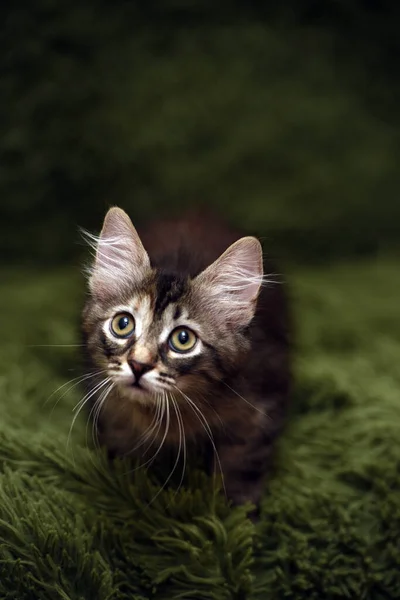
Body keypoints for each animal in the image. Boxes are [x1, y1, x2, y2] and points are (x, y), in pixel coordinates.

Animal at [80, 209, 290, 508]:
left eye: (183, 339)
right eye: (123, 324)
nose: (138, 365)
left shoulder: (260, 410)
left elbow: (241, 467)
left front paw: (234, 512)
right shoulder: (112, 414)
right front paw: (124, 492)